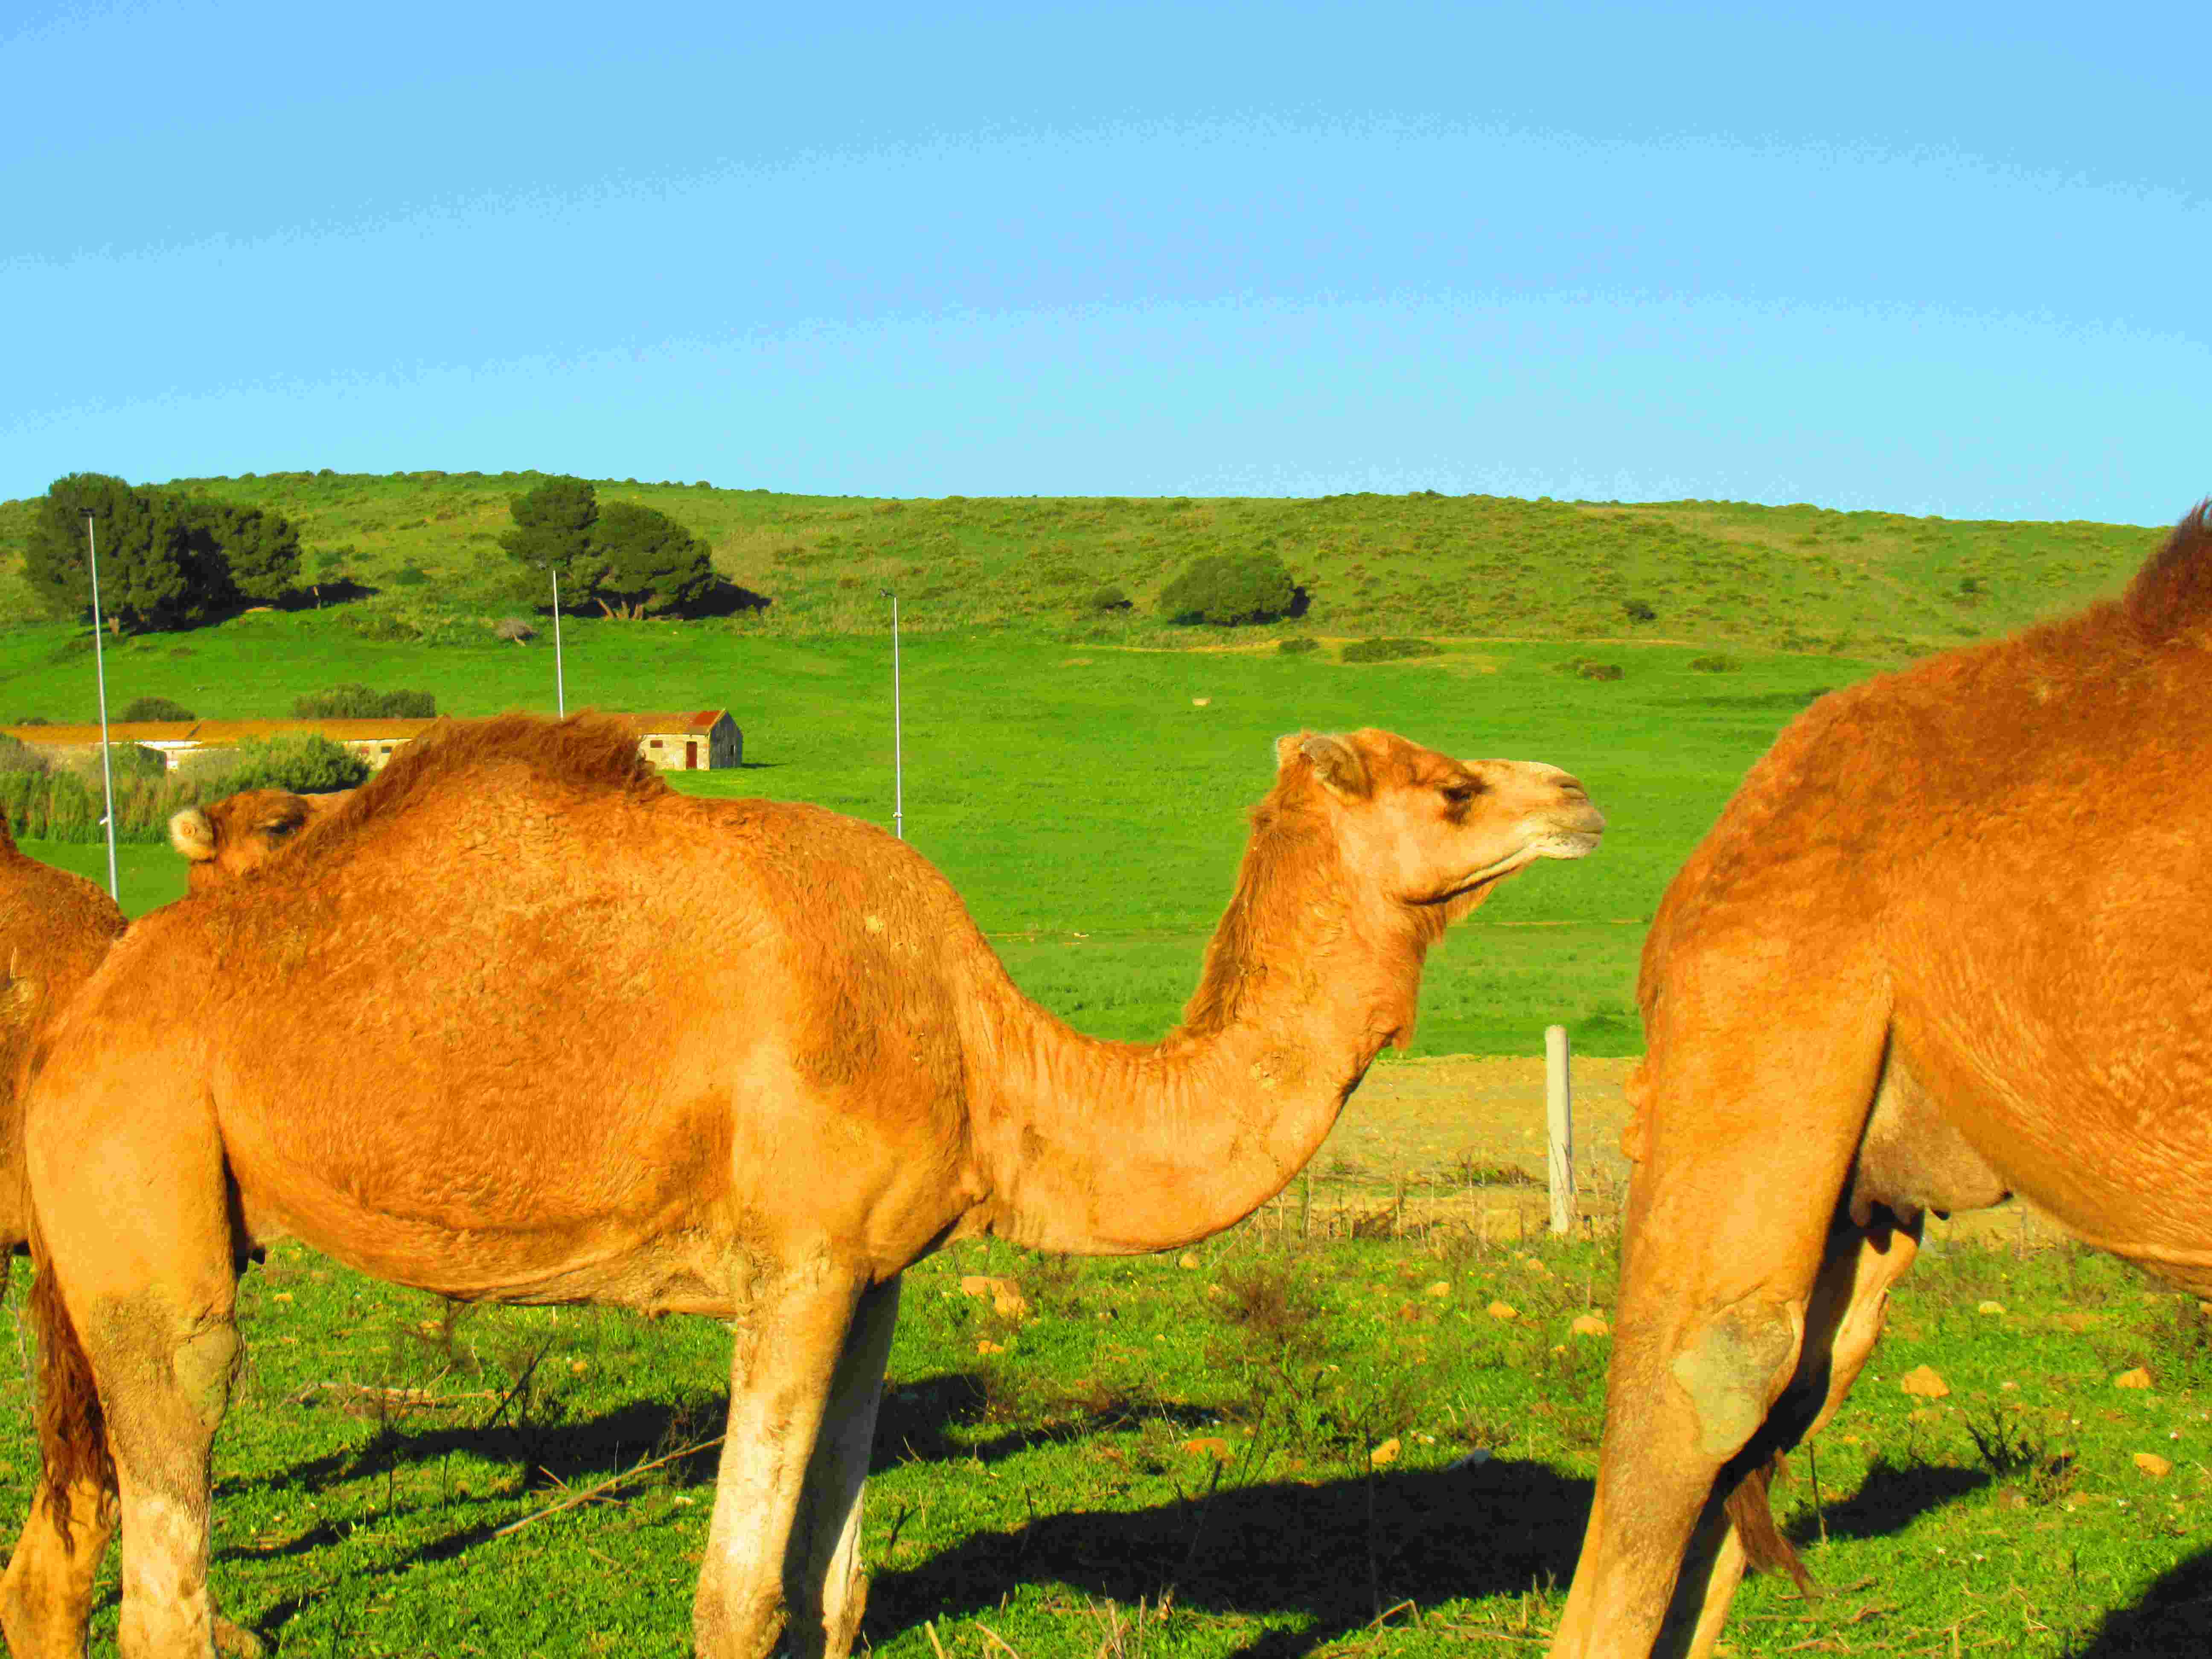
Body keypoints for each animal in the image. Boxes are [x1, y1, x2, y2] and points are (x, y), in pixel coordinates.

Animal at [13, 716, 1610, 1659]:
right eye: (1454, 785)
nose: (1581, 793)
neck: (987, 1051)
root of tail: (85, 1008)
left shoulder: (876, 1271)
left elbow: (834, 1592)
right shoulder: (791, 1261)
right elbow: (737, 1597)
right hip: (142, 1173)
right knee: (172, 1536)